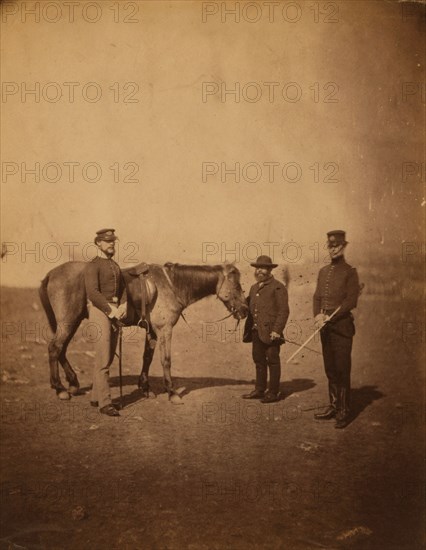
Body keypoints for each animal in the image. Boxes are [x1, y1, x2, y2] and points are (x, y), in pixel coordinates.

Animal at [39, 260, 250, 408]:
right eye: (237, 285)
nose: (245, 310)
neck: (172, 286)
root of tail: (51, 273)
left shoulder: (153, 331)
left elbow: (147, 357)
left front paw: (145, 388)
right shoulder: (165, 330)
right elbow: (166, 360)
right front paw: (172, 393)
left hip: (71, 322)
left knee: (61, 350)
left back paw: (73, 384)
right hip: (68, 321)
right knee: (55, 348)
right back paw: (60, 389)